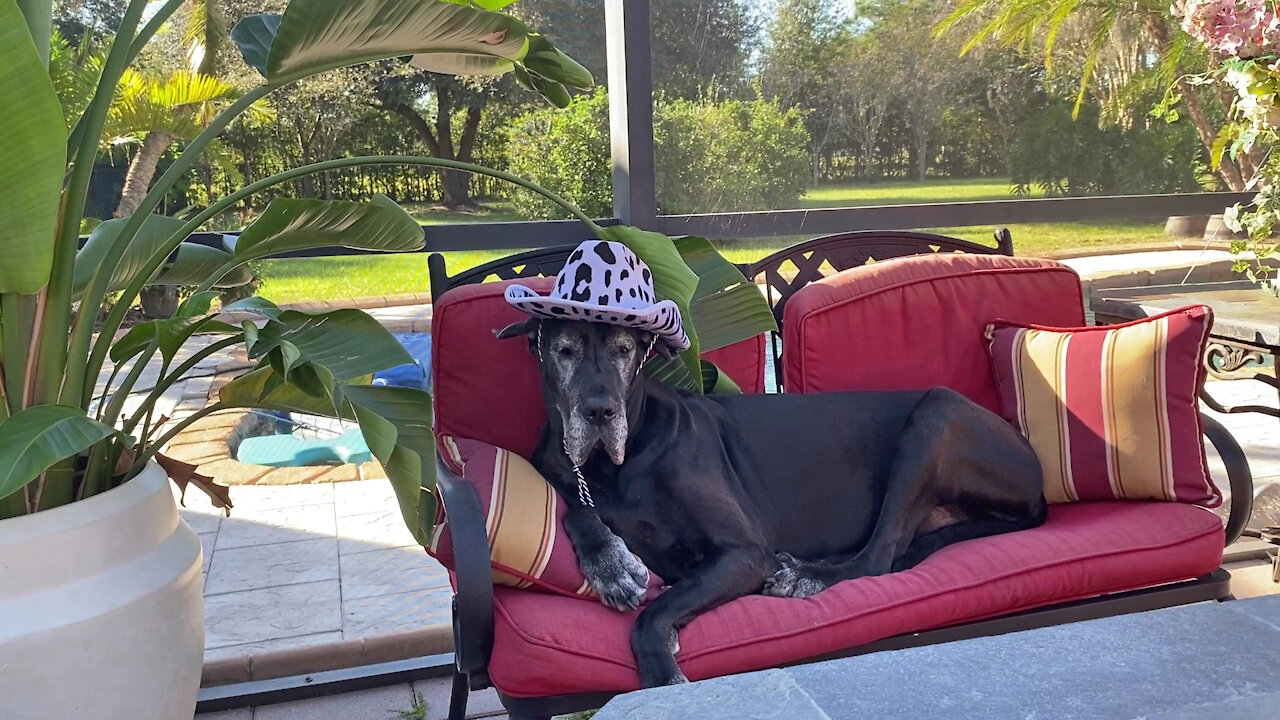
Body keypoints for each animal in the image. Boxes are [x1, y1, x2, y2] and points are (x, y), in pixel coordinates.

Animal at [494, 316, 1044, 686]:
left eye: (624, 349)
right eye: (564, 350)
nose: (600, 410)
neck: (612, 466)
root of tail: (1036, 474)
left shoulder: (743, 553)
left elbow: (653, 615)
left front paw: (664, 672)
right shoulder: (556, 469)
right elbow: (580, 515)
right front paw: (610, 563)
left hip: (936, 410)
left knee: (879, 555)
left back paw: (807, 574)